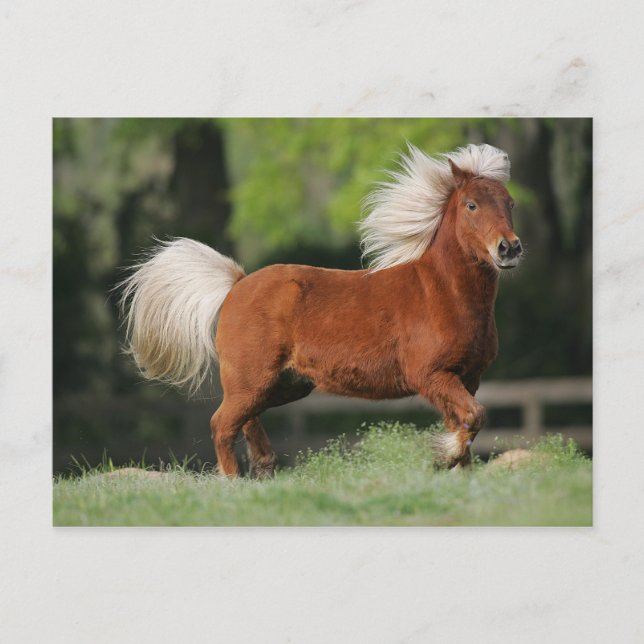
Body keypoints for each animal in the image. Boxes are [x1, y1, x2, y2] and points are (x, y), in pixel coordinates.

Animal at [119, 143, 522, 477]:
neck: (441, 293)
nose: (509, 248)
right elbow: (473, 417)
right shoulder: (431, 375)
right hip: (252, 380)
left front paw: (458, 472)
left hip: (284, 384)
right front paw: (443, 457)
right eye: (471, 205)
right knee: (222, 424)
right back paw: (233, 482)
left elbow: (466, 422)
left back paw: (264, 469)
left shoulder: (467, 378)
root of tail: (236, 284)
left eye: (510, 203)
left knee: (245, 420)